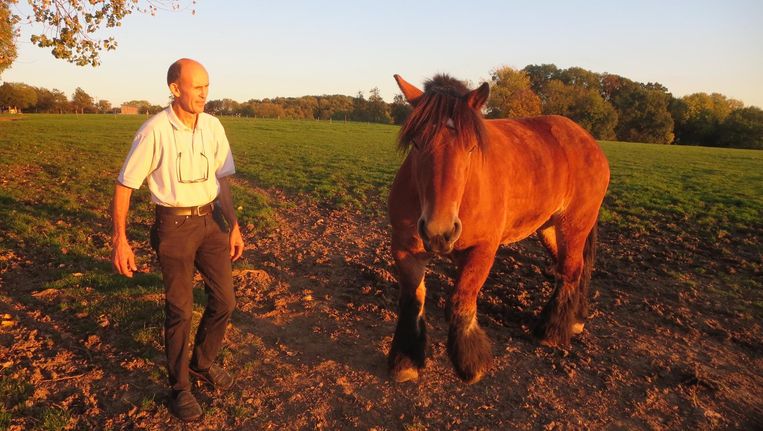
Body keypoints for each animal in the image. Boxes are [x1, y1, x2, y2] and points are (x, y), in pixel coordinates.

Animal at [388, 73, 608, 384]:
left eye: (470, 147)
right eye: (418, 143)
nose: (439, 230)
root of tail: (586, 139)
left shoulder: (483, 249)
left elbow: (461, 301)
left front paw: (471, 363)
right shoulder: (405, 249)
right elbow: (411, 300)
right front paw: (405, 361)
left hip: (574, 225)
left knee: (571, 269)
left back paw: (551, 331)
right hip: (548, 228)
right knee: (570, 267)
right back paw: (574, 319)